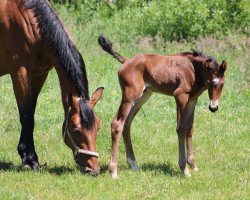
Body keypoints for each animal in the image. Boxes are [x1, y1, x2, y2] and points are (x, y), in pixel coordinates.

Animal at [0, 0, 103, 175]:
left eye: (98, 126)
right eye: (75, 129)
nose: (93, 169)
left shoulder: (40, 74)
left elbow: (31, 110)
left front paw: (24, 154)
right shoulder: (20, 73)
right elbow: (26, 116)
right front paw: (31, 161)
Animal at [98, 34, 227, 178]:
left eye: (222, 84)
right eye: (212, 83)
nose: (213, 107)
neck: (194, 70)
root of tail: (126, 61)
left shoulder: (193, 99)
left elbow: (190, 127)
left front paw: (193, 165)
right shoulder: (180, 96)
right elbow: (181, 128)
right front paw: (184, 169)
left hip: (143, 96)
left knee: (127, 123)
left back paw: (134, 164)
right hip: (130, 96)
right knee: (117, 124)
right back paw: (113, 171)